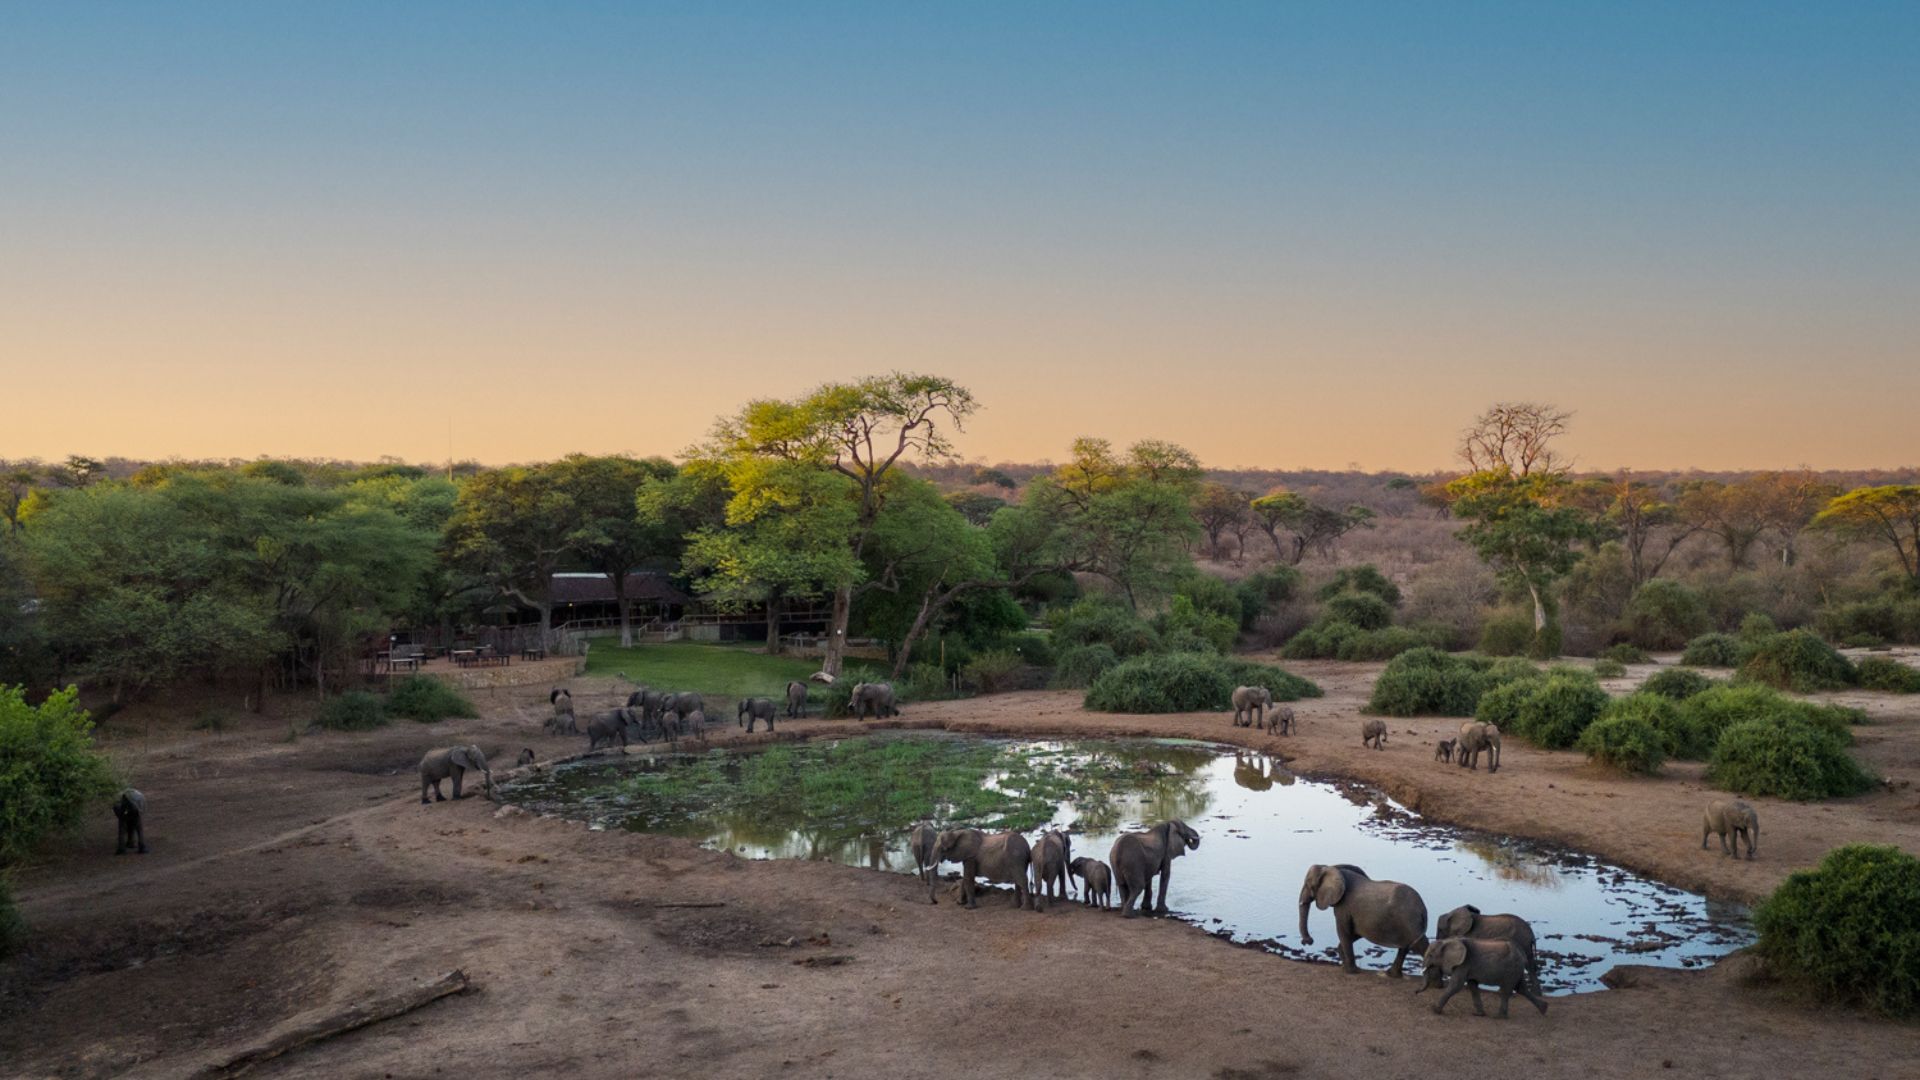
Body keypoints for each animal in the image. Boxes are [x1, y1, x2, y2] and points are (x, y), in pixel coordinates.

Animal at [1297, 863, 1429, 977]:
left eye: (1308, 884)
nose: (1308, 941)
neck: (1332, 868)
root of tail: (1423, 908)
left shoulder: (1344, 906)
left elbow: (1343, 931)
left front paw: (1351, 971)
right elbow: (1355, 933)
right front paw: (1345, 967)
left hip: (1408, 920)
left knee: (1419, 944)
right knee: (1407, 945)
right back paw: (1391, 975)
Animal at [1417, 937, 1549, 1019]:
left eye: (1431, 955)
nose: (1415, 992)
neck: (1449, 941)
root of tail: (1522, 954)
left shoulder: (1464, 963)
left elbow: (1456, 985)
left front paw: (1434, 1010)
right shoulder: (1467, 965)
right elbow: (1472, 985)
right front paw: (1478, 1014)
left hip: (1511, 969)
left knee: (1506, 990)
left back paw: (1499, 1017)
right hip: (1516, 969)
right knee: (1521, 988)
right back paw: (1544, 1009)